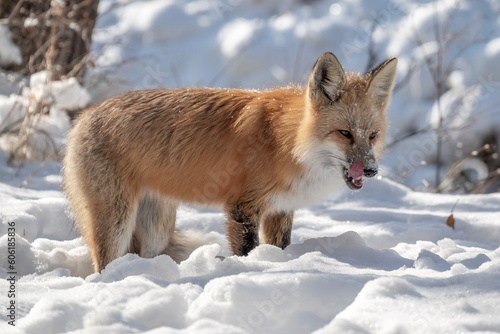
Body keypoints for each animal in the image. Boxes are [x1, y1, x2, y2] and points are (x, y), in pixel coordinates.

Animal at [63, 51, 398, 272]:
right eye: (344, 134)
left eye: (372, 136)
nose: (371, 170)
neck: (286, 143)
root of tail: (83, 116)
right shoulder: (242, 207)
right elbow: (247, 252)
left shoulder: (281, 209)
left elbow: (278, 247)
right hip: (117, 221)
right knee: (103, 264)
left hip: (156, 229)